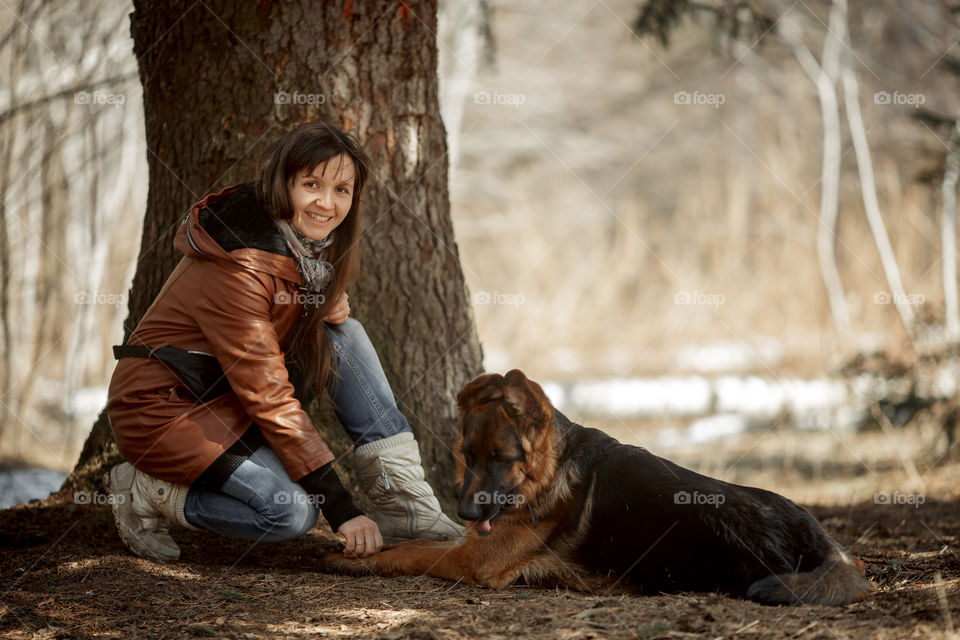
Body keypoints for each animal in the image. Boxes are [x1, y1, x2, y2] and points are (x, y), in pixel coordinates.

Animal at [326, 370, 872, 604]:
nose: (464, 512)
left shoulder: (474, 559)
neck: (550, 473)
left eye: (502, 460)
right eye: (470, 456)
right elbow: (416, 541)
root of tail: (823, 541)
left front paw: (356, 558)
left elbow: (413, 552)